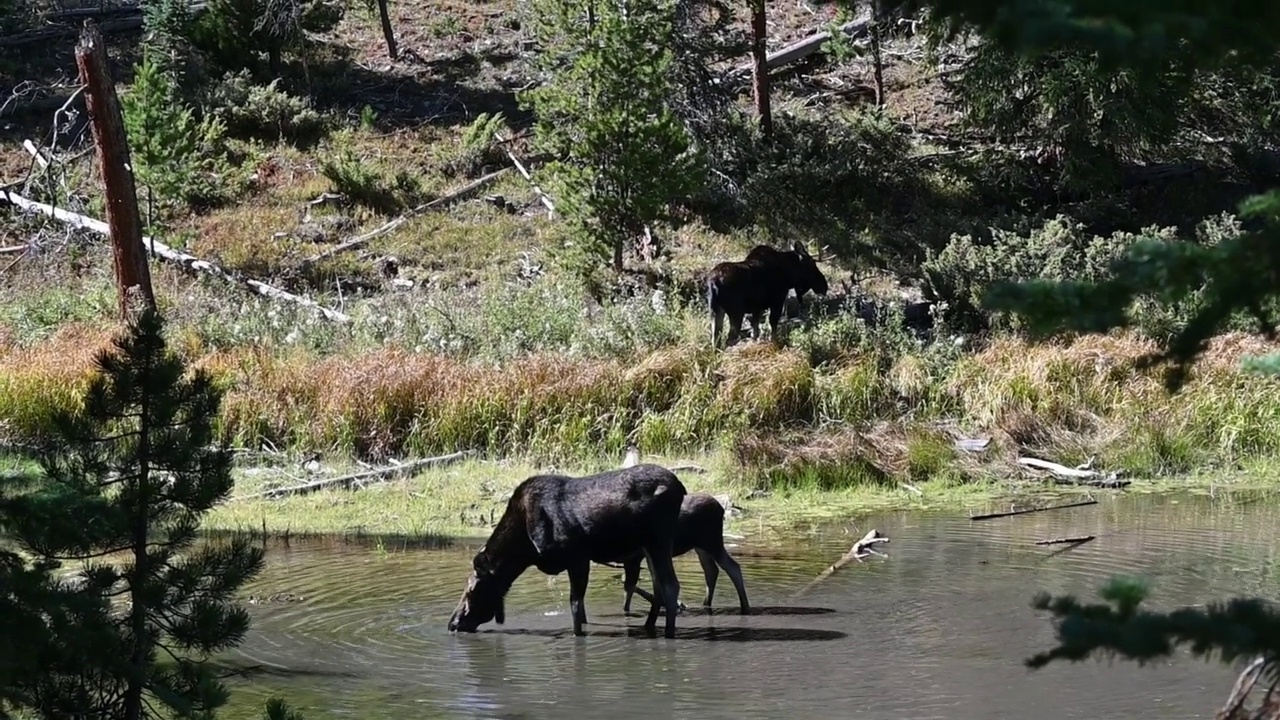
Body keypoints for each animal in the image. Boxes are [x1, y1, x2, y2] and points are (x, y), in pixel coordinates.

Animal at [450, 461, 691, 635]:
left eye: (472, 590)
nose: (453, 623)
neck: (525, 551)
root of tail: (681, 487)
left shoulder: (578, 557)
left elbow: (575, 607)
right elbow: (581, 609)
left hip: (659, 538)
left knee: (671, 585)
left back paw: (669, 633)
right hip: (649, 546)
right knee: (659, 585)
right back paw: (649, 626)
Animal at [616, 489, 747, 614]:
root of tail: (720, 509)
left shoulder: (634, 557)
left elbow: (629, 590)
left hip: (712, 541)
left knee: (732, 567)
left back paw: (744, 606)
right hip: (700, 546)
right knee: (712, 570)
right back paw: (705, 604)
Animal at [701, 240, 829, 348]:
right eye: (811, 264)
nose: (824, 286)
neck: (788, 276)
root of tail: (713, 282)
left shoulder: (757, 308)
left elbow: (755, 331)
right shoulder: (777, 301)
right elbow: (773, 326)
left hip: (715, 311)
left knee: (715, 340)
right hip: (736, 312)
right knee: (729, 340)